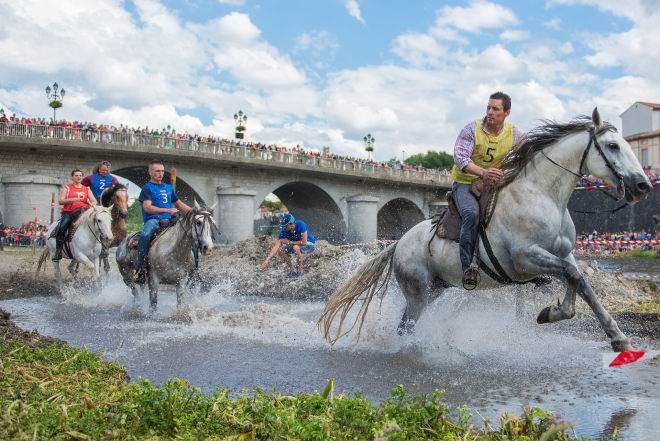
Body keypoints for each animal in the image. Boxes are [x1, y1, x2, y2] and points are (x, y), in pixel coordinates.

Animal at [320, 108, 656, 352]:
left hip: (437, 289)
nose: (643, 186)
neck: (542, 195)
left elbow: (581, 282)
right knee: (406, 326)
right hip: (418, 291)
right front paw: (553, 312)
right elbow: (572, 277)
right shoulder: (525, 258)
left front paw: (616, 336)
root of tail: (398, 243)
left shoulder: (563, 254)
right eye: (612, 146)